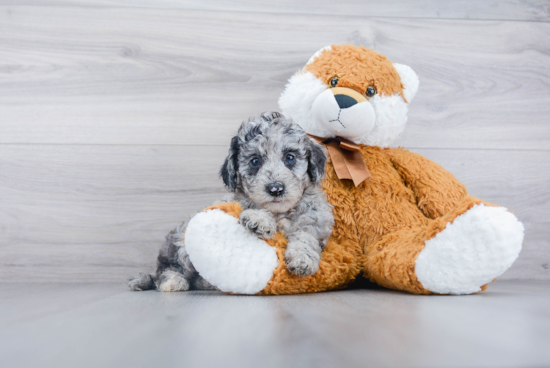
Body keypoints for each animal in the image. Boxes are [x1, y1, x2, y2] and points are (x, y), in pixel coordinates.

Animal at [130, 110, 334, 292]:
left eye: (290, 158)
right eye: (255, 161)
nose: (275, 188)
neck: (281, 212)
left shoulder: (317, 220)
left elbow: (306, 236)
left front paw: (302, 259)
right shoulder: (236, 203)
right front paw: (259, 220)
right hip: (181, 243)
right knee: (167, 268)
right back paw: (172, 281)